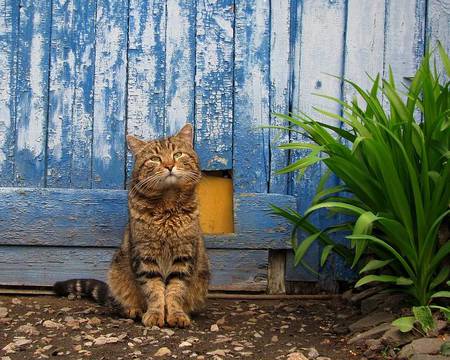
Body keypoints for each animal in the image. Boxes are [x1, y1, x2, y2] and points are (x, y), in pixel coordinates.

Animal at [55, 124, 211, 330]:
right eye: (155, 158)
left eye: (177, 154)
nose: (169, 165)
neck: (167, 203)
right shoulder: (145, 255)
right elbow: (154, 290)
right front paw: (155, 314)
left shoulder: (184, 255)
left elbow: (176, 290)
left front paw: (176, 314)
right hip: (116, 271)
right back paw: (133, 310)